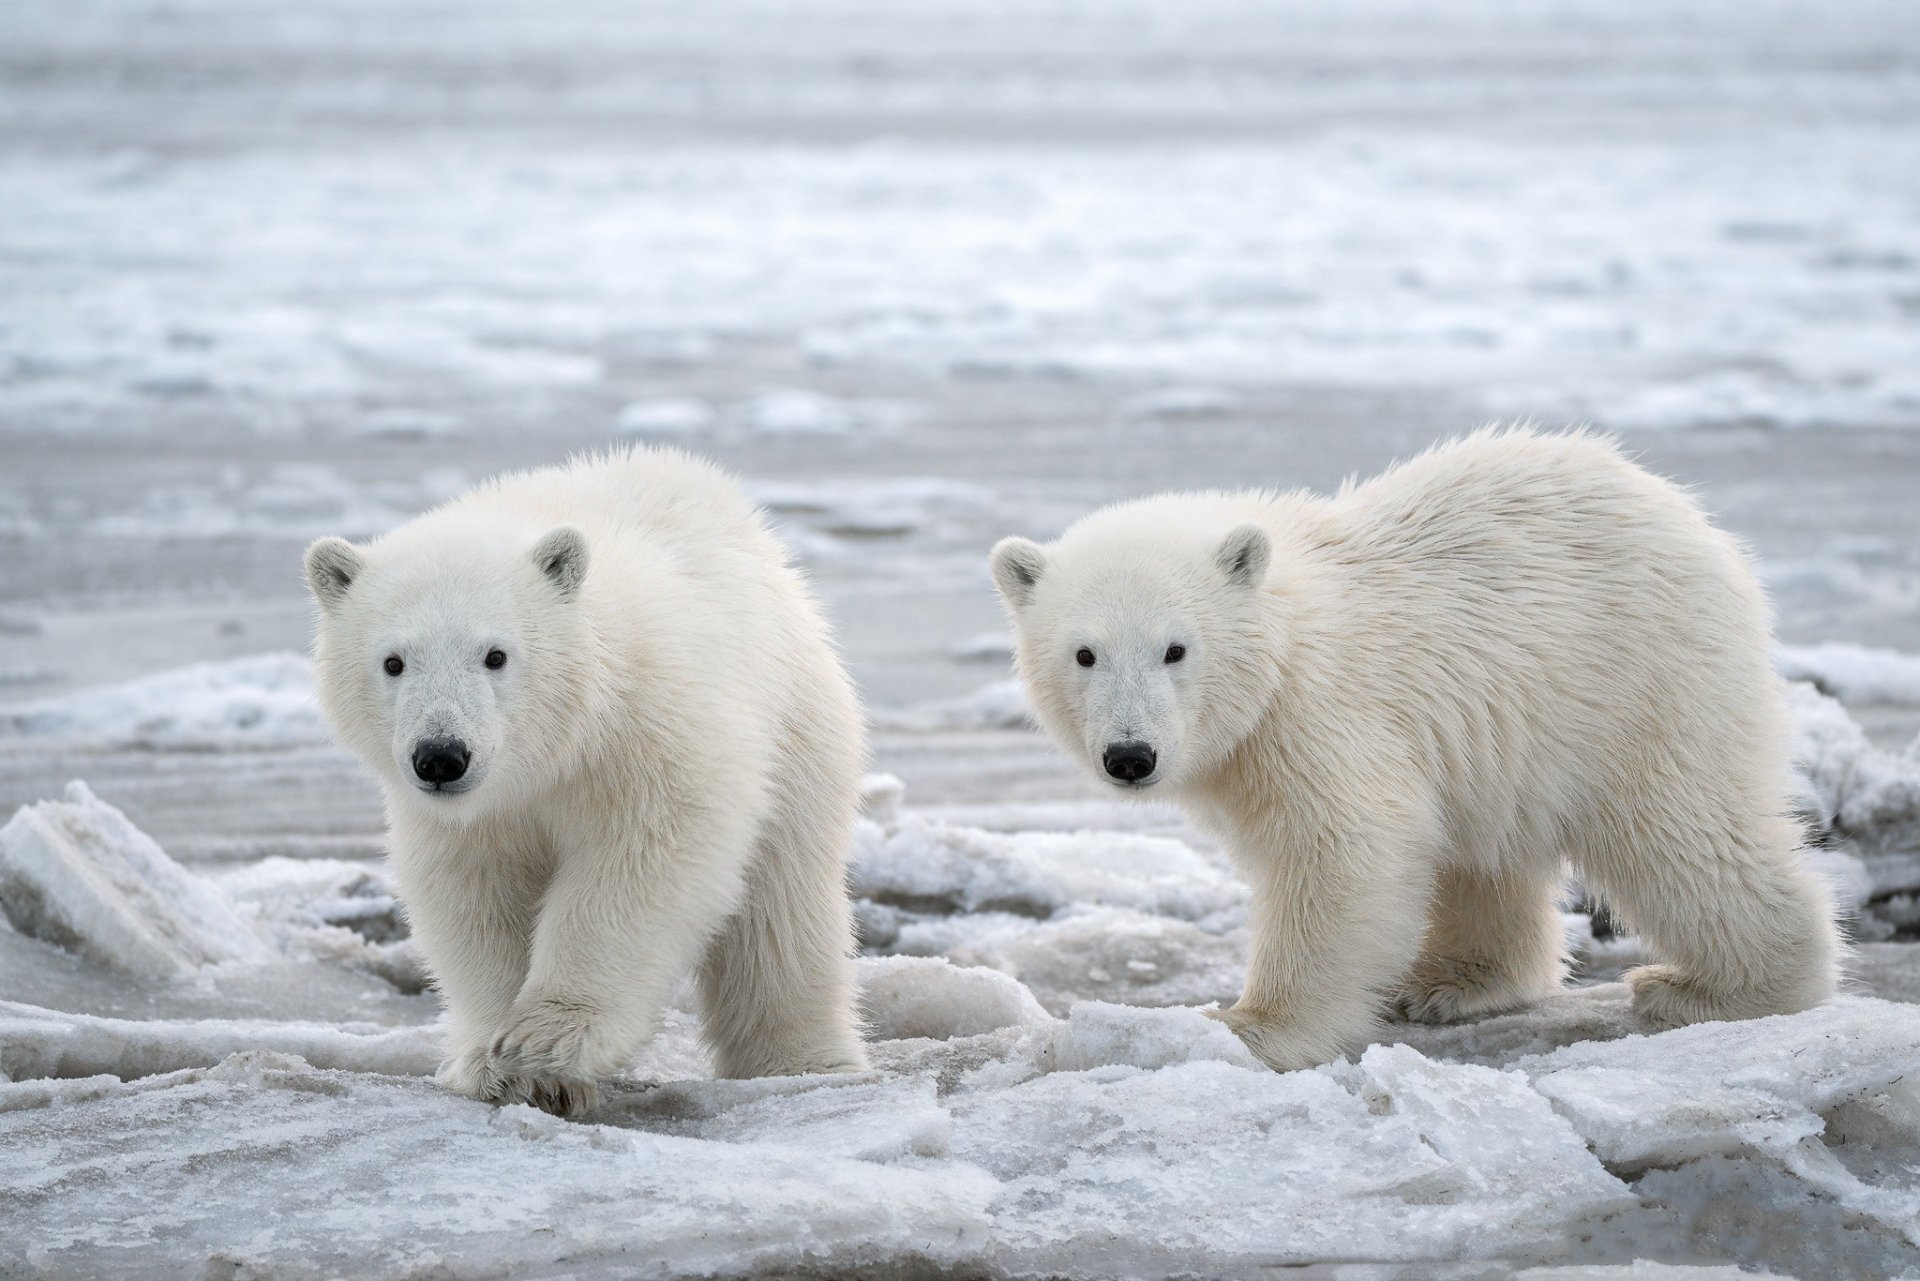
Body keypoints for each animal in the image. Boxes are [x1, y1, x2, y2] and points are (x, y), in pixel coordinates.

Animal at [309, 449, 871, 1113]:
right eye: (393, 662)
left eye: (495, 655)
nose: (442, 756)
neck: (553, 753)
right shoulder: (472, 815)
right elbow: (473, 895)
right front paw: (498, 1066)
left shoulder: (648, 733)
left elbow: (643, 863)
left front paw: (549, 1040)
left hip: (796, 726)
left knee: (780, 914)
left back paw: (802, 1062)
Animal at [990, 430, 1843, 1075]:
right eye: (1084, 653)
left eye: (1175, 648)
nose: (1130, 755)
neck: (1285, 639)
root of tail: (1695, 522)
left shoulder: (1325, 716)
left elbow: (1343, 853)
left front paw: (1250, 1025)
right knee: (1488, 852)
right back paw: (1453, 982)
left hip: (1634, 682)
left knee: (1682, 830)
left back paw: (1717, 989)